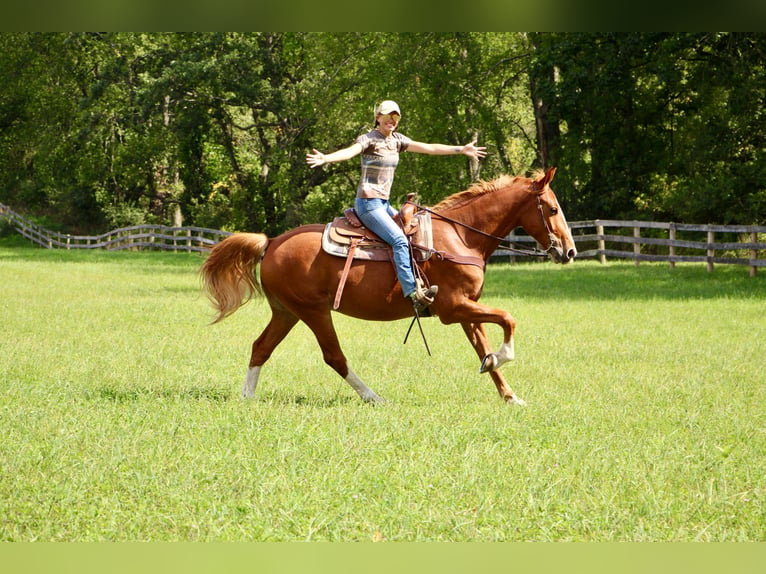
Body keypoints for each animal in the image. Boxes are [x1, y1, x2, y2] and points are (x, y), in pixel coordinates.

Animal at [202, 169, 576, 408]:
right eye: (552, 208)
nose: (570, 251)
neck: (461, 235)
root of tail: (271, 243)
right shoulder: (453, 308)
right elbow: (509, 318)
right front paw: (504, 357)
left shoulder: (467, 309)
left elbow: (484, 348)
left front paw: (510, 395)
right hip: (313, 311)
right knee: (334, 356)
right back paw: (374, 397)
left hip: (287, 312)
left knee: (261, 347)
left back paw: (247, 397)